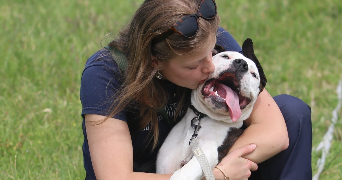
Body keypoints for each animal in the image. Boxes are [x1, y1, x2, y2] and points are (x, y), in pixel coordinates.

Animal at [156, 38, 268, 179]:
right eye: (225, 56)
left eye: (254, 75)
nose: (242, 63)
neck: (204, 117)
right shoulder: (165, 163)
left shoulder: (209, 151)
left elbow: (184, 173)